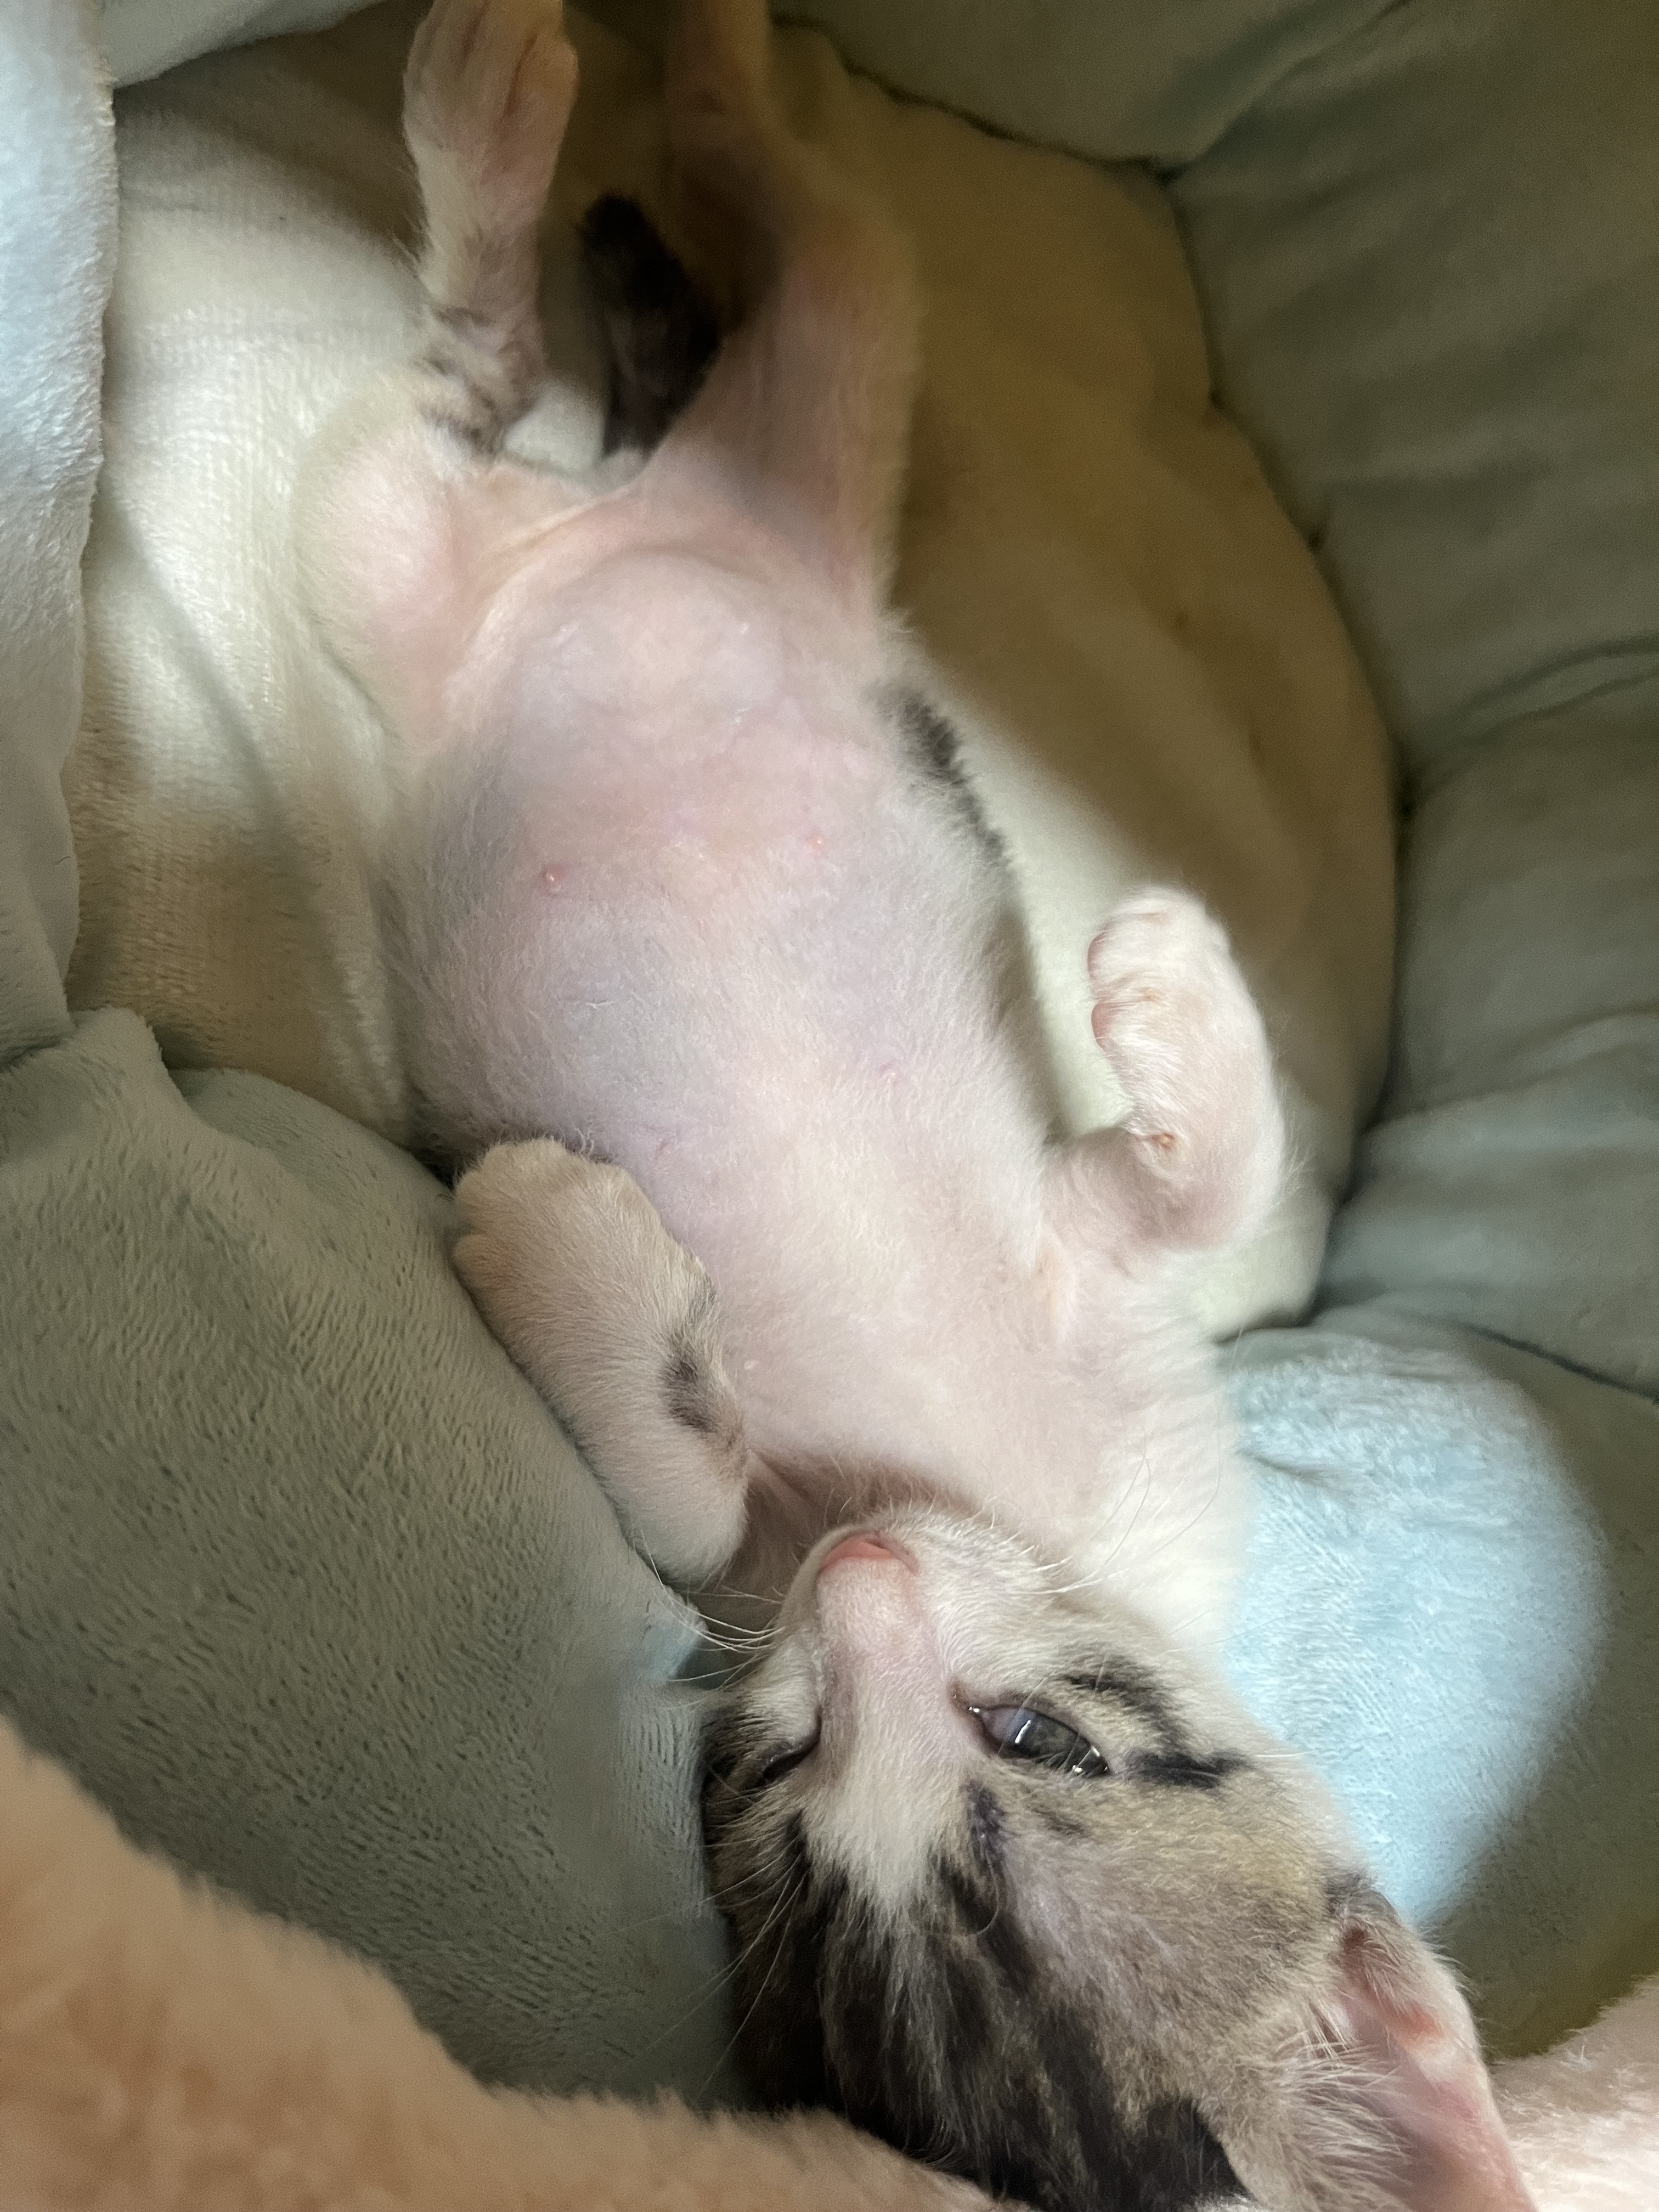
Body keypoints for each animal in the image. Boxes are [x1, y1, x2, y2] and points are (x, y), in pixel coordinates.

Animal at [299, 0, 1535, 2206]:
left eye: (1034, 1748)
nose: (873, 1572)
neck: (967, 1508)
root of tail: (635, 521)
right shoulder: (1049, 1323)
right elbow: (1179, 1204)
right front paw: (1169, 1003)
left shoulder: (824, 1520)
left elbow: (706, 1483)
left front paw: (552, 1235)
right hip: (751, 421)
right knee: (727, 255)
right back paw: (643, 73)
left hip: (470, 510)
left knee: (516, 362)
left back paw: (567, 115)